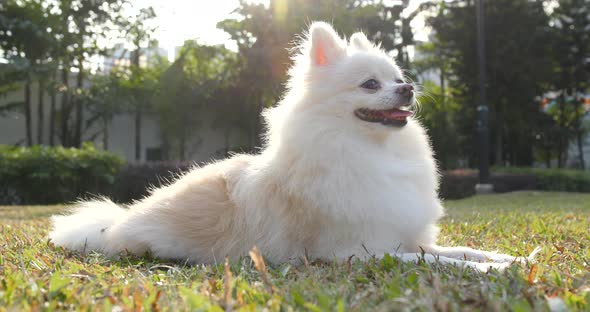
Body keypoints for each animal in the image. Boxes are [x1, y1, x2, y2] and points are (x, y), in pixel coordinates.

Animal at [52, 22, 540, 270]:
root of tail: (118, 221)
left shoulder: (408, 236)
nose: (408, 89)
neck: (372, 153)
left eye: (398, 78)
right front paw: (488, 270)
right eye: (370, 84)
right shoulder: (357, 252)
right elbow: (440, 263)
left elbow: (458, 251)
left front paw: (505, 258)